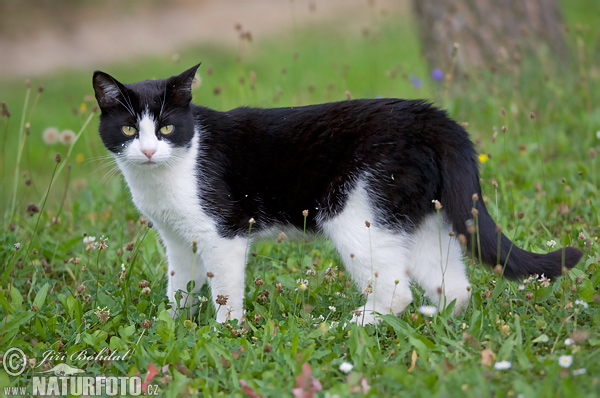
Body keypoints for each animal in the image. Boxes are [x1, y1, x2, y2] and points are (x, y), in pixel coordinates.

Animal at [91, 63, 584, 324]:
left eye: (167, 128)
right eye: (130, 129)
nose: (149, 150)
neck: (169, 172)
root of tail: (432, 118)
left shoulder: (221, 232)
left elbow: (225, 289)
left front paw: (225, 331)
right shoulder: (177, 239)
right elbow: (179, 284)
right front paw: (171, 325)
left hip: (355, 213)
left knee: (396, 290)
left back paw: (355, 324)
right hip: (413, 216)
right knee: (454, 286)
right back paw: (435, 319)